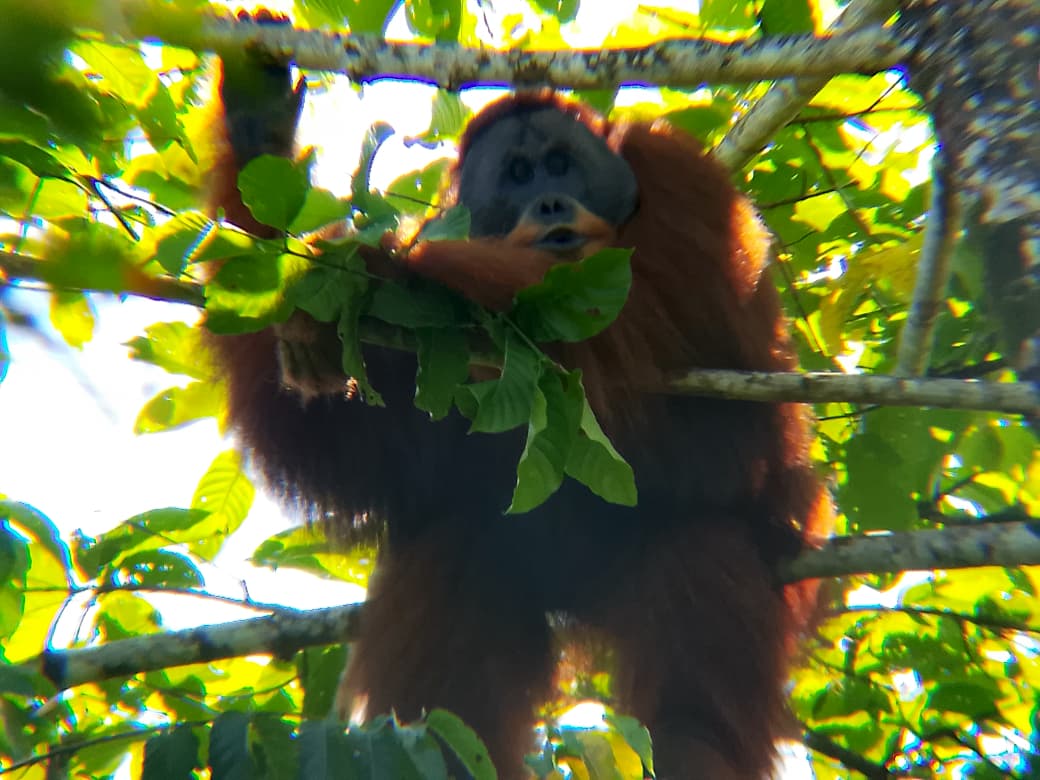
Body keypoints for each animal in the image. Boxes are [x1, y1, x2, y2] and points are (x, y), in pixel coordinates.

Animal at [207, 21, 831, 779]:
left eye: (562, 164)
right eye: (519, 175)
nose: (552, 203)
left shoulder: (682, 180)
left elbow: (646, 315)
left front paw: (369, 267)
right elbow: (350, 447)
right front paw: (257, 137)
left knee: (701, 554)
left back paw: (692, 747)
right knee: (456, 551)